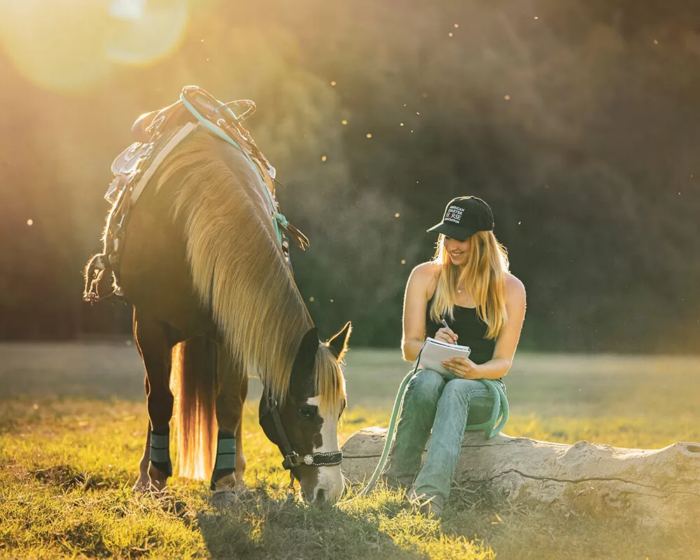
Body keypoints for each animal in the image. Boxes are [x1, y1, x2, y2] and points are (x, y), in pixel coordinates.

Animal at [106, 129, 350, 506]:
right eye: (306, 411)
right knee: (155, 392)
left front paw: (225, 481)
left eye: (341, 409)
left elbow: (230, 403)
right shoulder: (148, 325)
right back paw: (146, 474)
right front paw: (156, 478)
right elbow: (160, 399)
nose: (330, 492)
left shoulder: (234, 329)